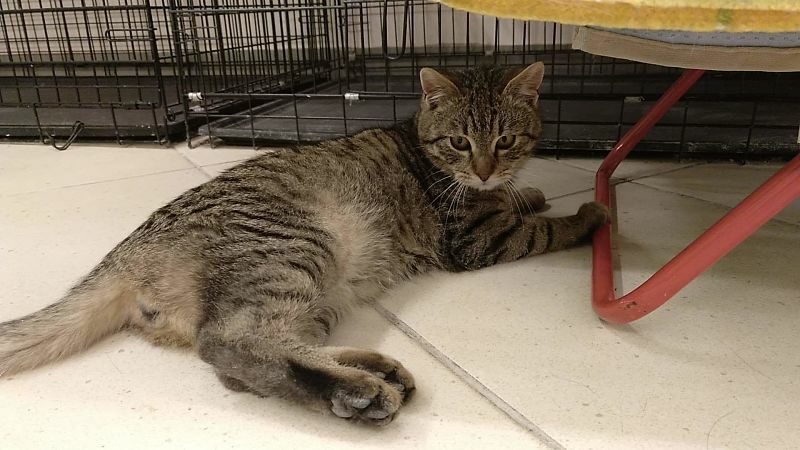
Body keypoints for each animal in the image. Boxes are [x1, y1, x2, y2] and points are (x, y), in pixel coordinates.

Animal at [0, 62, 608, 425]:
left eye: (505, 140)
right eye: (461, 142)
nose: (484, 170)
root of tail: (123, 254)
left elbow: (520, 200)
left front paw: (530, 191)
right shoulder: (477, 238)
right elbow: (543, 227)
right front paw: (588, 213)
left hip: (313, 295)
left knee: (252, 361)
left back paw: (370, 372)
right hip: (293, 251)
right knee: (233, 344)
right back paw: (361, 390)